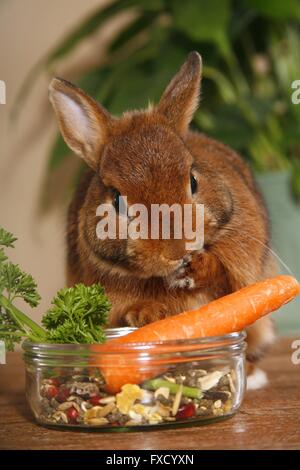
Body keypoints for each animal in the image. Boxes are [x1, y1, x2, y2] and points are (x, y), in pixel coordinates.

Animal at [49, 49, 276, 370]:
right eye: (117, 200)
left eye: (193, 180)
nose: (177, 250)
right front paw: (149, 314)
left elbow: (227, 279)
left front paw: (196, 267)